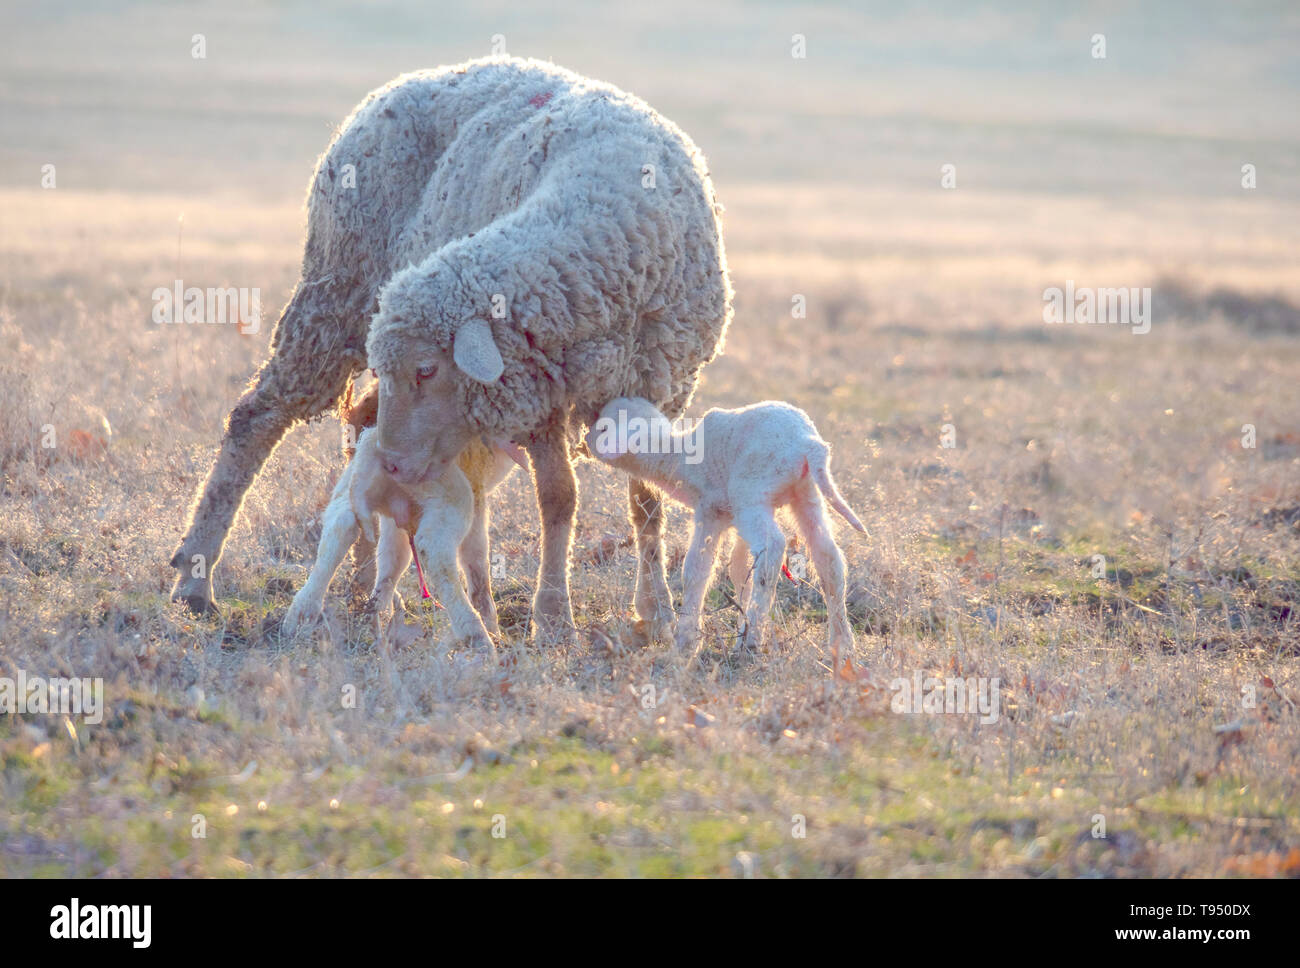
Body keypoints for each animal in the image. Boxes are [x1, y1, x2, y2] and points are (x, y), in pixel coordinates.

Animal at [282, 413, 521, 649]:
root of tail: (374, 445)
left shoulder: (397, 511)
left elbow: (392, 556)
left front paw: (380, 611)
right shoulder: (476, 487)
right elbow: (476, 558)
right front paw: (491, 624)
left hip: (351, 483)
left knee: (340, 525)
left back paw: (301, 617)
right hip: (446, 490)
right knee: (435, 549)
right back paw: (477, 635)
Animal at [587, 397, 867, 673]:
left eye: (604, 427)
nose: (587, 439)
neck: (678, 457)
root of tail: (808, 442)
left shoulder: (710, 510)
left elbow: (696, 571)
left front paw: (686, 642)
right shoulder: (735, 519)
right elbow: (740, 570)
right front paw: (738, 623)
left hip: (751, 494)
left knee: (773, 548)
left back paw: (752, 642)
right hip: (804, 494)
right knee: (828, 559)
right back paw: (841, 644)